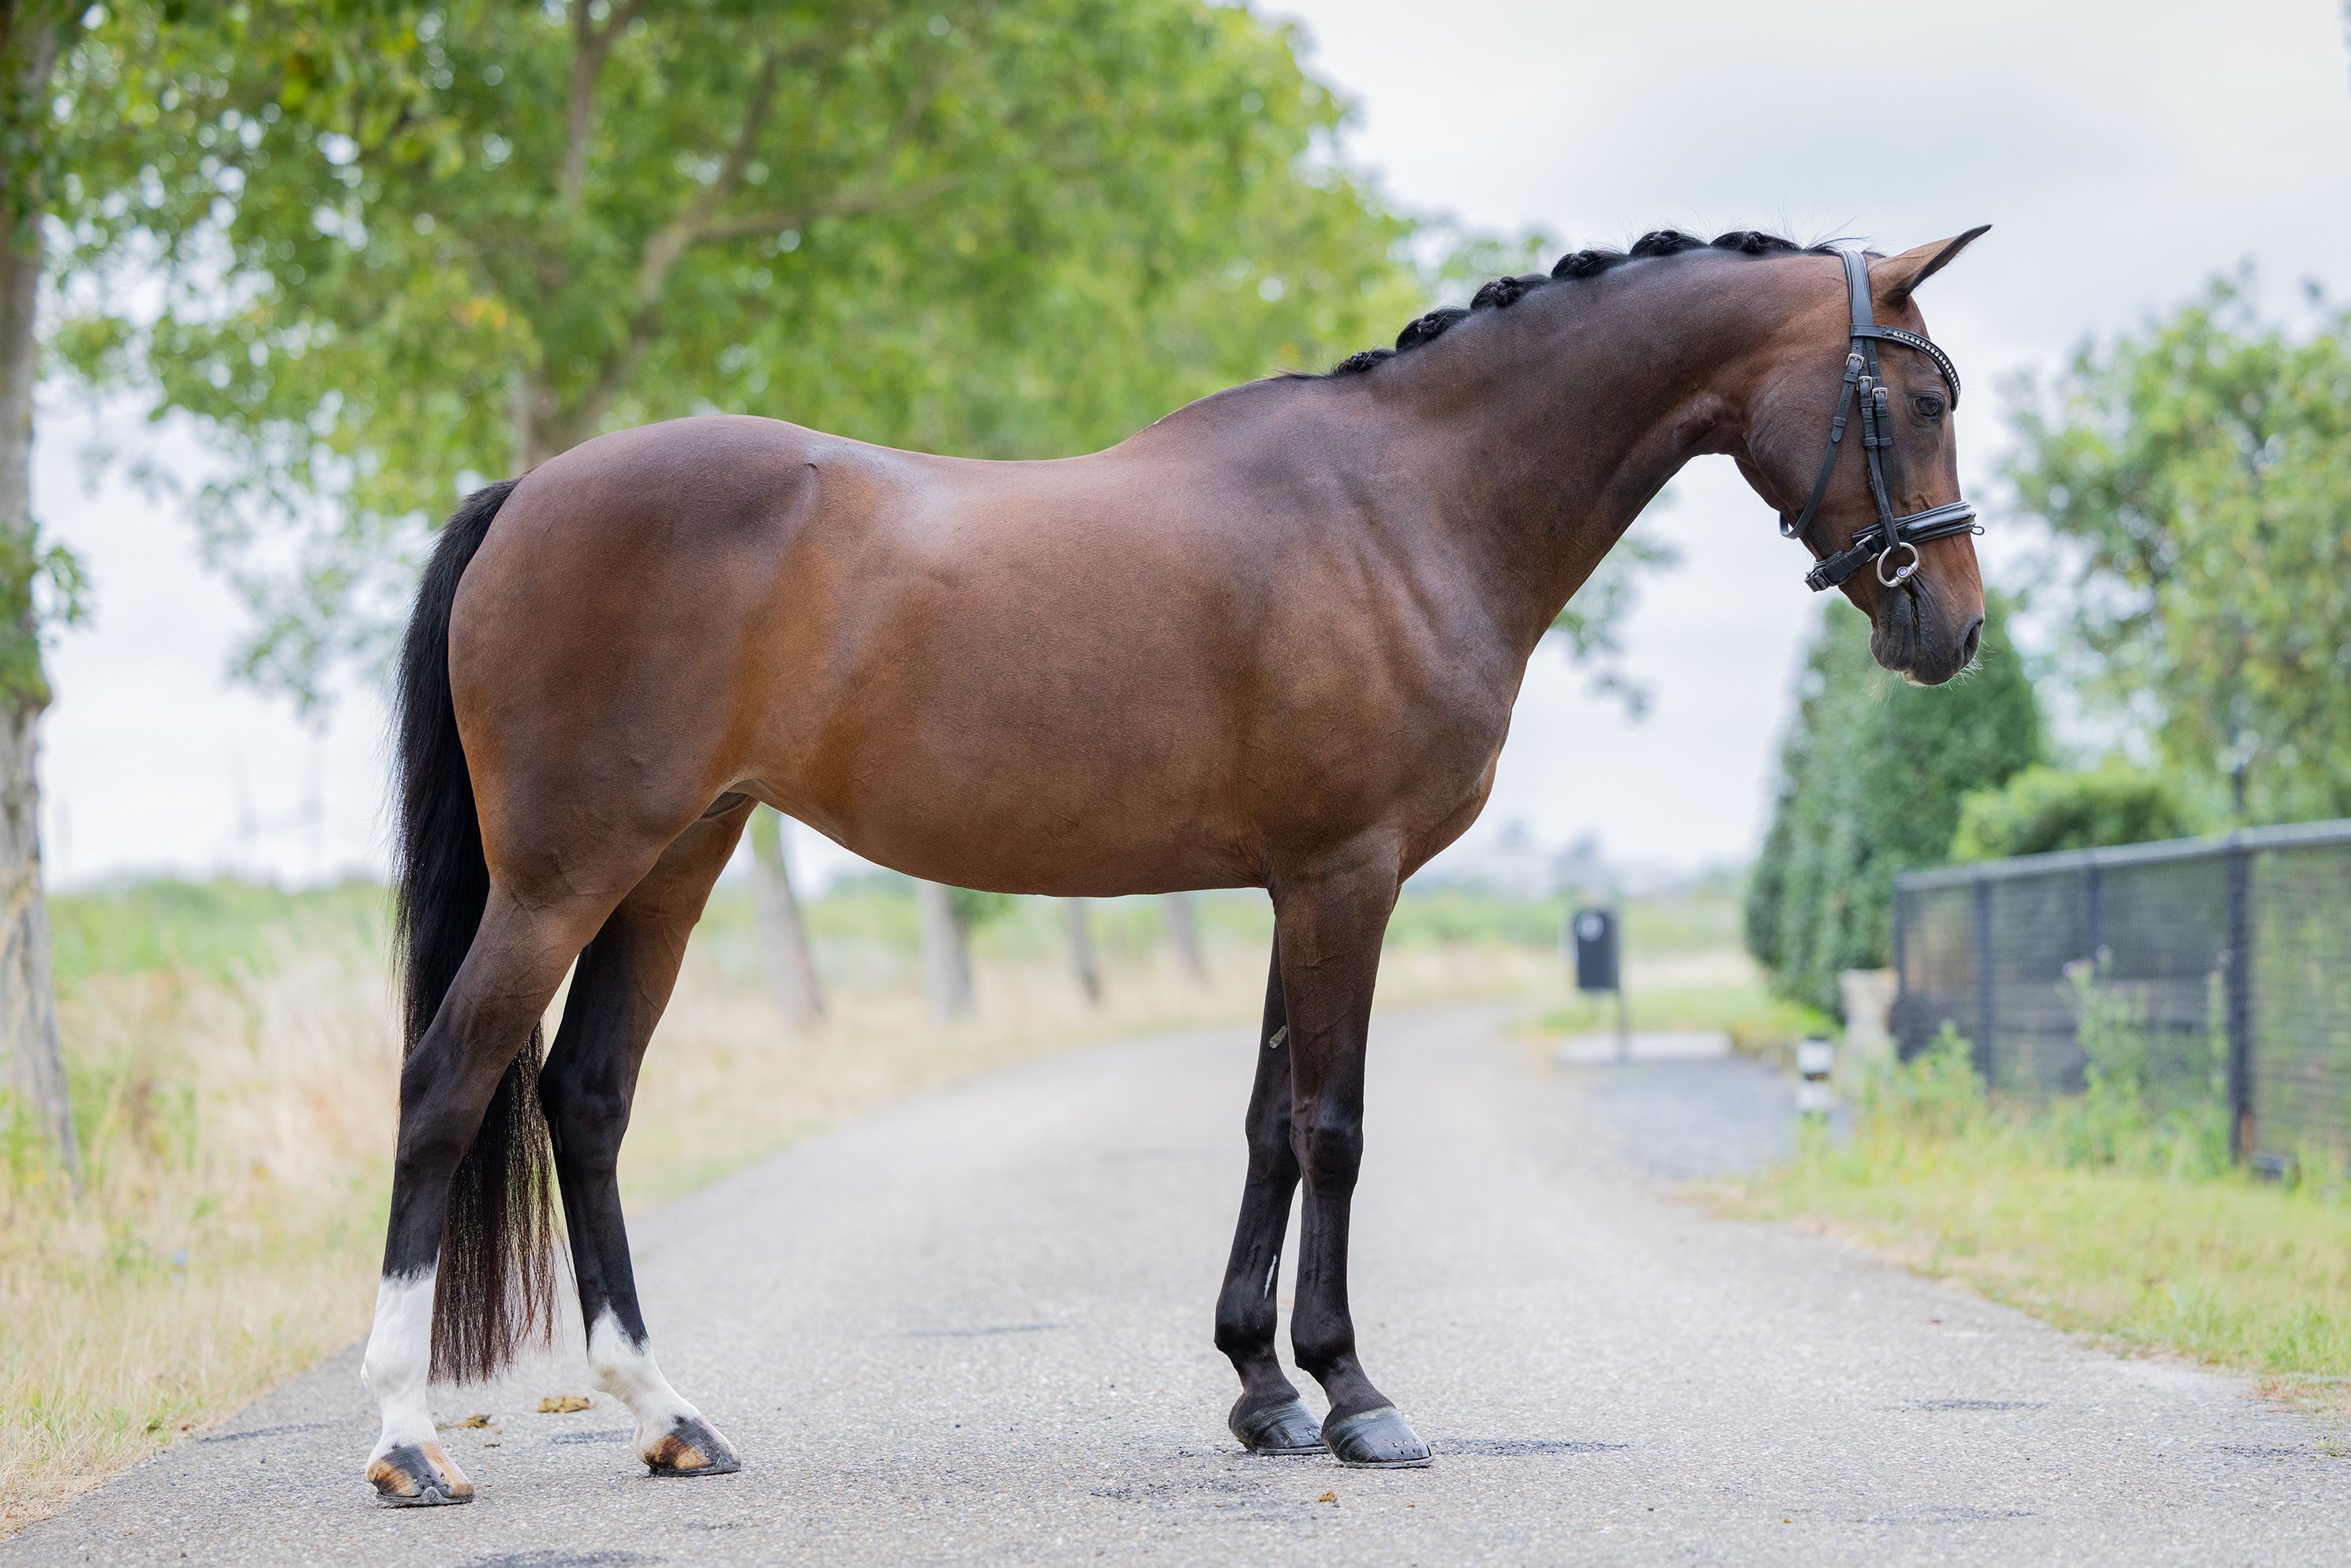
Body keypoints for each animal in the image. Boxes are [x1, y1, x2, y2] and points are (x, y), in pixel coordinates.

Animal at [359, 225, 1991, 1503]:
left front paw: (1261, 1390)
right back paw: (406, 1439)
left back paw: (669, 1416)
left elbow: (1267, 1124)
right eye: (1915, 397)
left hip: (676, 861)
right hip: (565, 876)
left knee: (585, 1098)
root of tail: (527, 493)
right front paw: (1353, 1395)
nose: (1952, 628)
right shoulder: (1348, 877)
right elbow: (1333, 1125)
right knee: (445, 1084)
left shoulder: (1290, 884)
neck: (1404, 503)